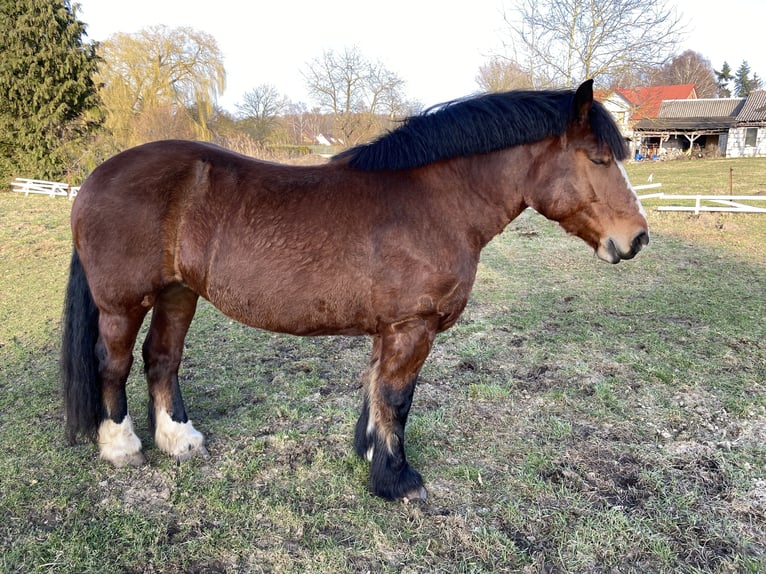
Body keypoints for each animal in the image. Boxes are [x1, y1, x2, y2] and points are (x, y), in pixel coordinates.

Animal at [61, 80, 648, 501]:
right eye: (598, 158)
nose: (637, 238)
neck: (436, 202)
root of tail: (94, 177)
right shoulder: (412, 328)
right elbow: (397, 398)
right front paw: (396, 480)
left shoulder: (388, 328)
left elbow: (374, 391)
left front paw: (369, 456)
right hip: (122, 303)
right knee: (113, 363)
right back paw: (121, 446)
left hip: (178, 292)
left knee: (161, 358)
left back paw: (179, 440)